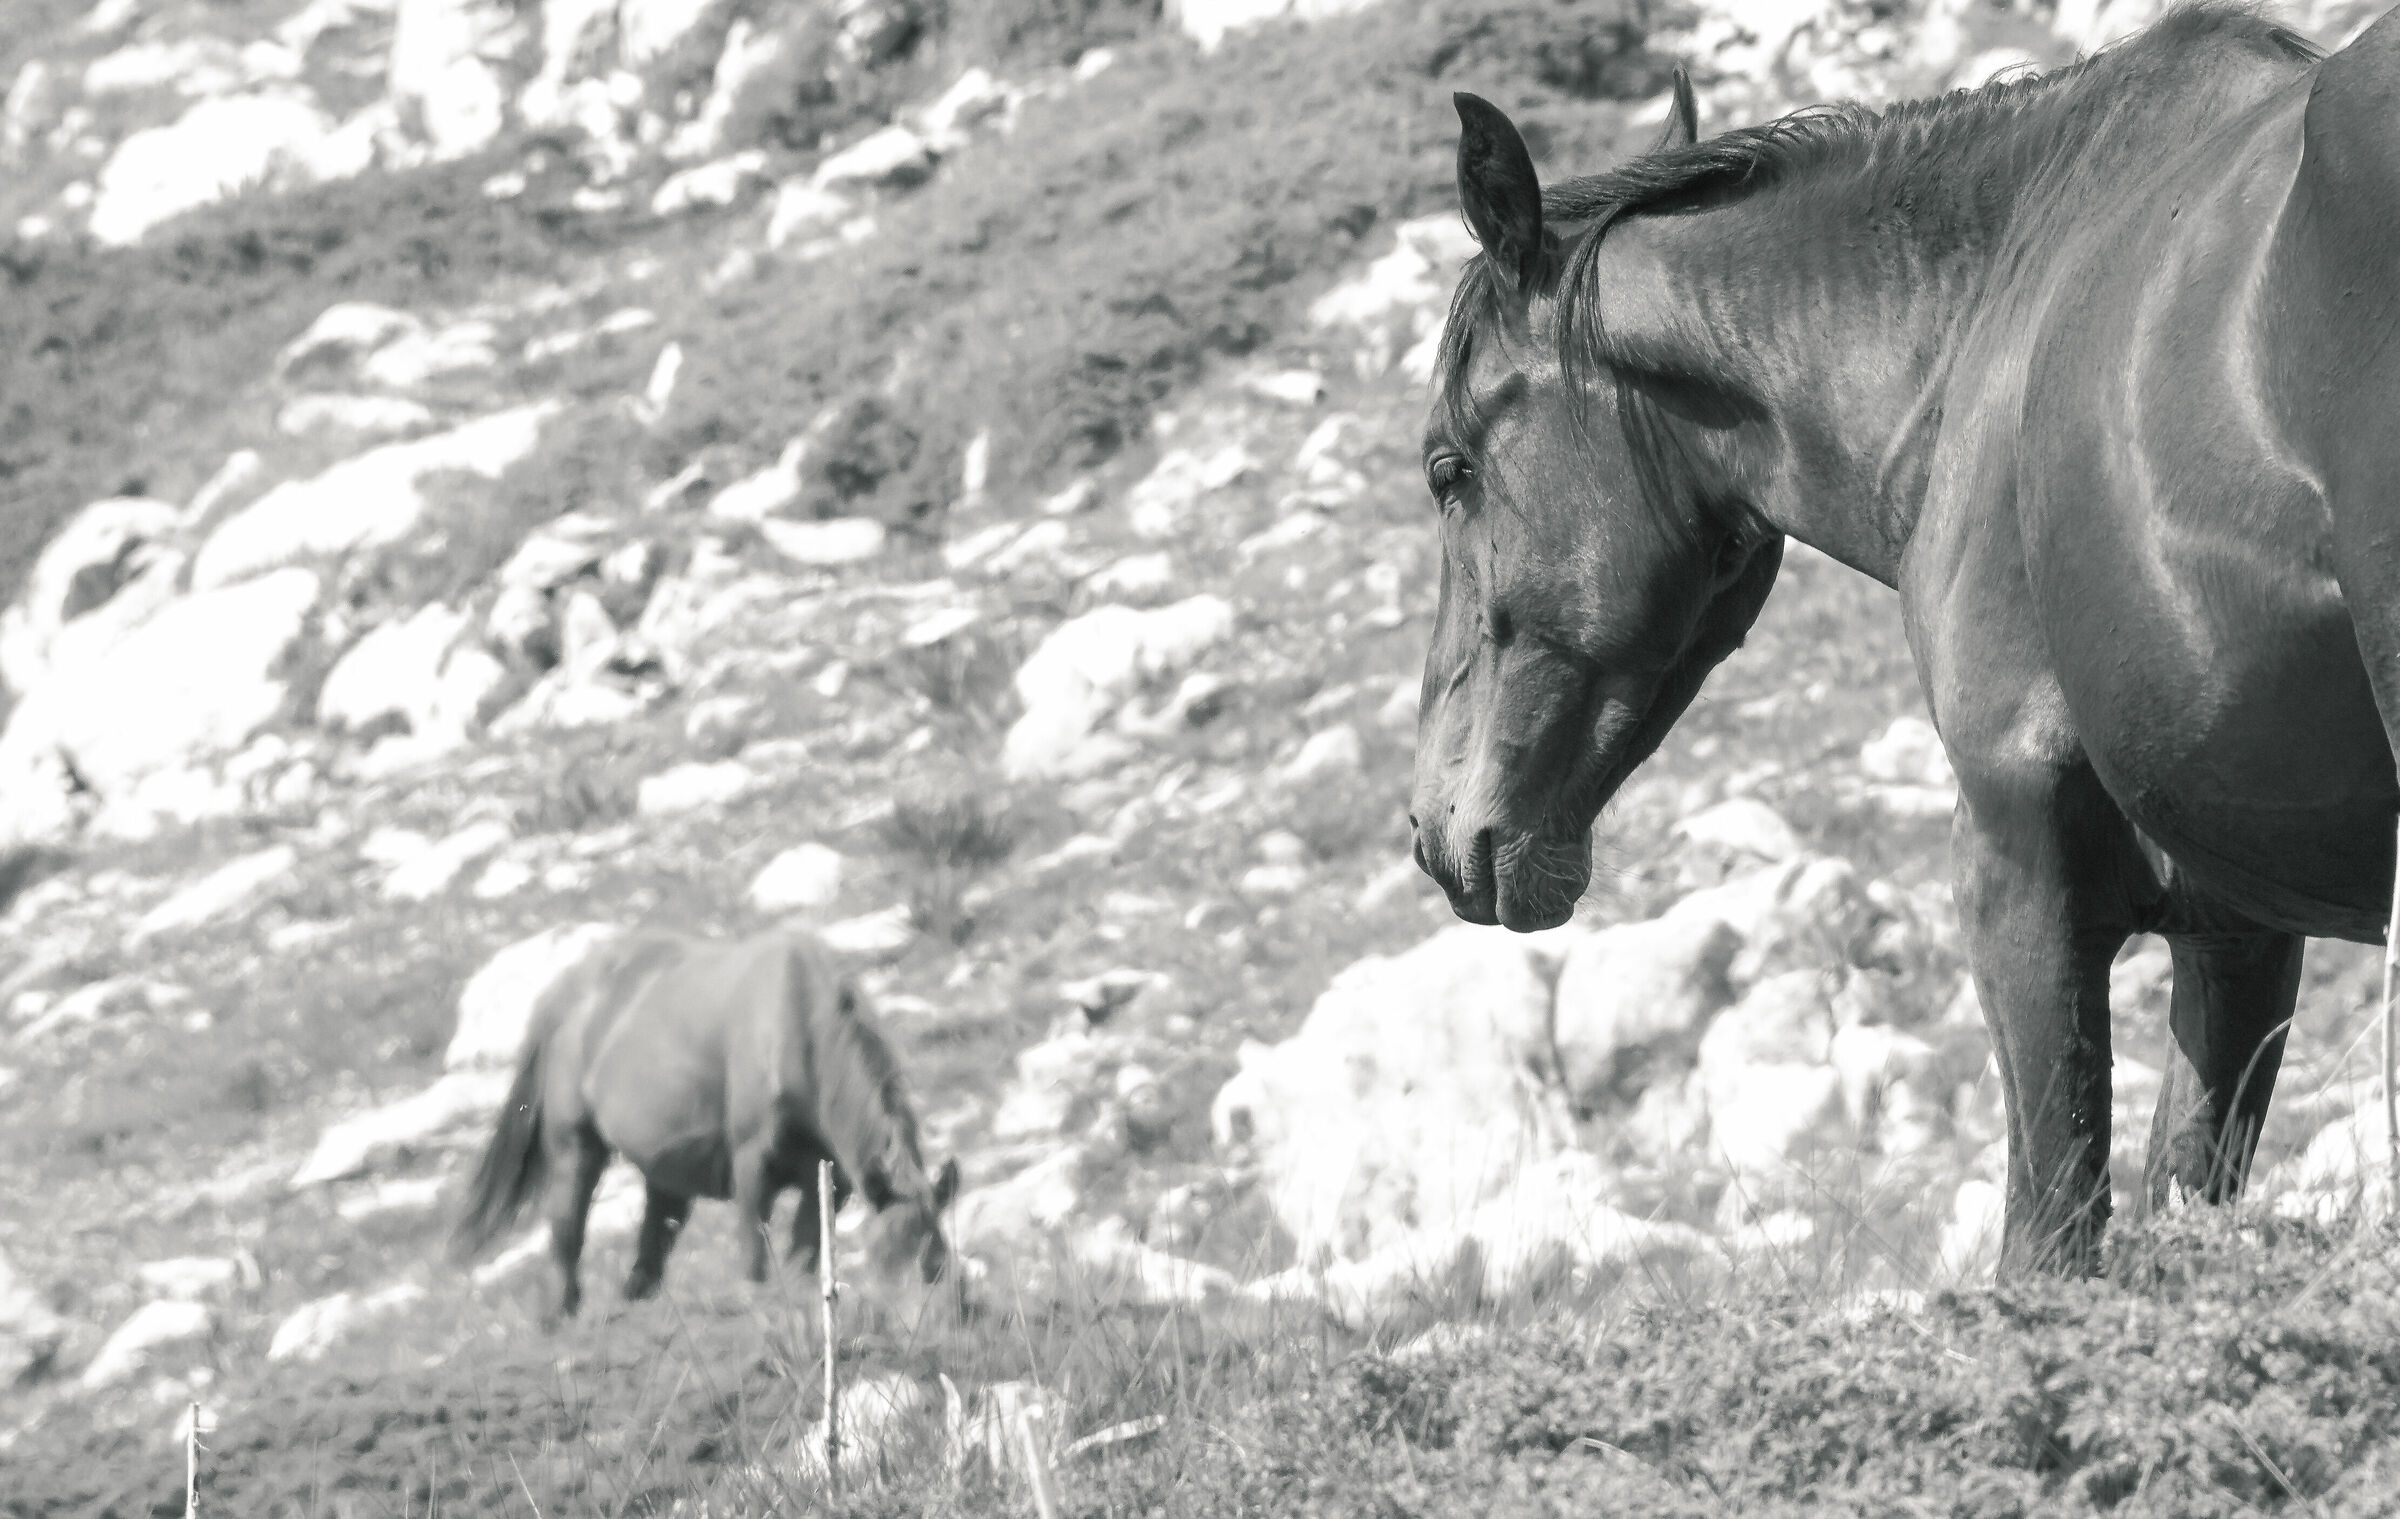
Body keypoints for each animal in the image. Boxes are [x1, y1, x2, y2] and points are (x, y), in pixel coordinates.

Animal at [451, 928, 960, 1320]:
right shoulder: (752, 1163)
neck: (794, 1027)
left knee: (652, 1241)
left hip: (663, 1168)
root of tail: (563, 996)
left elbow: (806, 1251)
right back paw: (561, 1313)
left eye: (939, 1259)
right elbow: (755, 1248)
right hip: (575, 1146)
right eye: (885, 1258)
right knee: (567, 1229)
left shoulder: (829, 1180)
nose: (924, 1321)